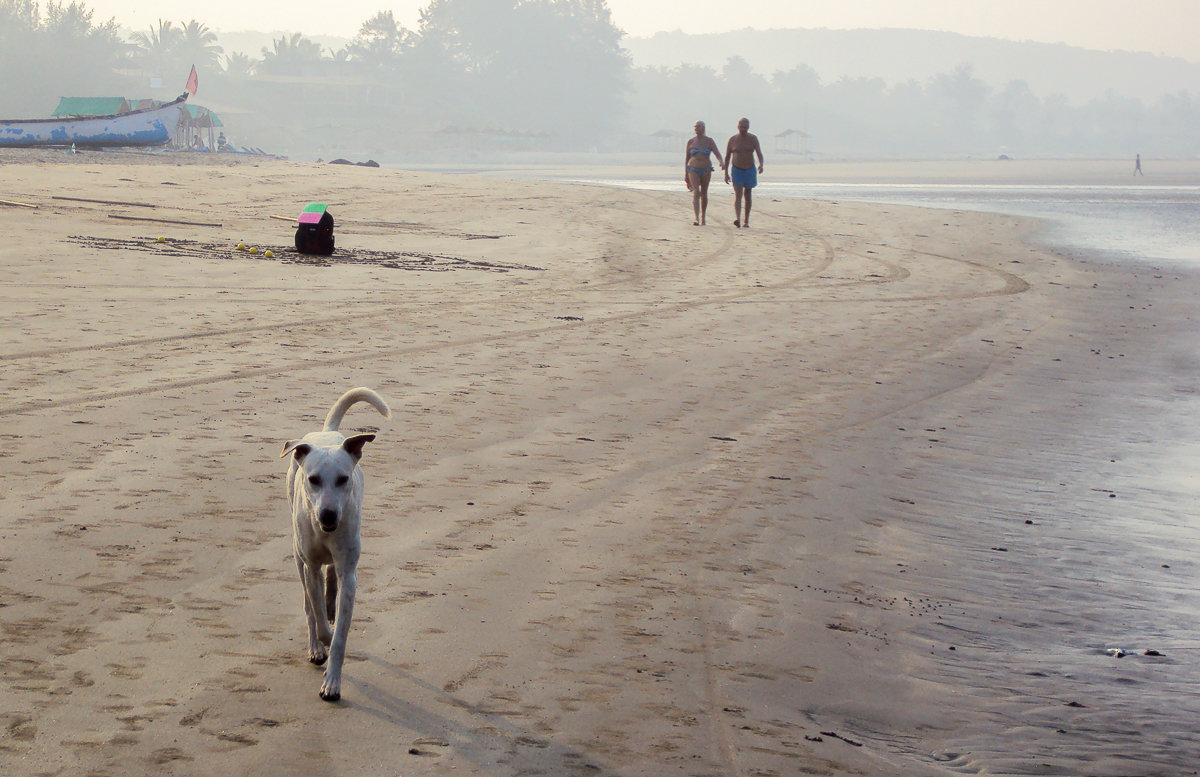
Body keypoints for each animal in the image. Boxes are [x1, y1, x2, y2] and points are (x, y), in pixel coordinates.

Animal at [279, 386, 388, 700]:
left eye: (343, 479)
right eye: (313, 479)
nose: (327, 515)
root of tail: (326, 432)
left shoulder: (350, 572)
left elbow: (340, 634)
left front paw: (332, 684)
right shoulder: (310, 564)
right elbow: (314, 607)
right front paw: (322, 640)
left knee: (331, 579)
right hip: (297, 555)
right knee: (308, 602)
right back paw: (316, 645)